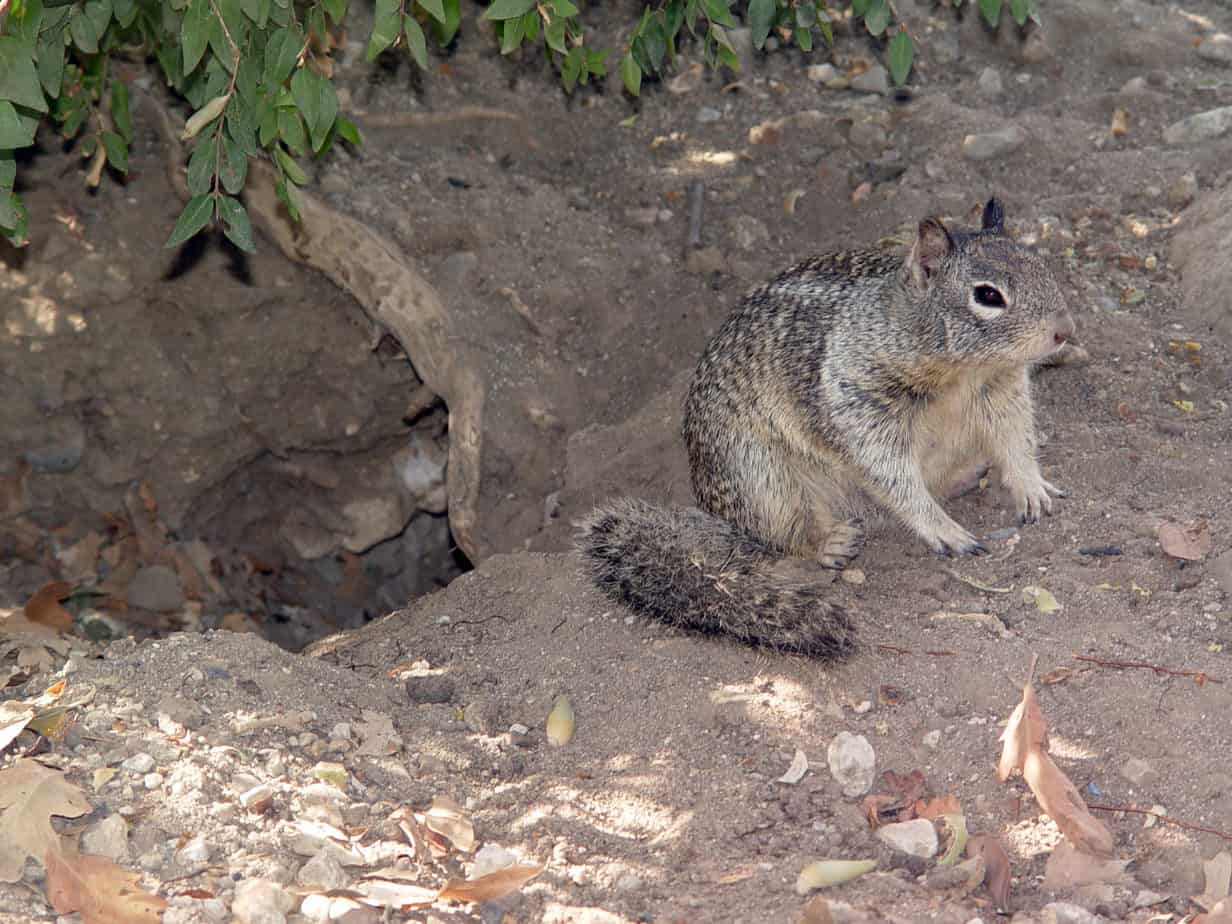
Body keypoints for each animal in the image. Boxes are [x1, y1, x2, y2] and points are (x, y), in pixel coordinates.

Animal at [581, 199, 1074, 660]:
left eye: (1041, 266)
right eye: (988, 295)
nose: (1064, 331)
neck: (963, 373)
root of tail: (709, 505)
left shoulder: (1003, 394)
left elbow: (1016, 443)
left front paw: (1032, 487)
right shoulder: (861, 404)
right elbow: (893, 478)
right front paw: (944, 529)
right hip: (762, 480)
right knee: (783, 535)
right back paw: (831, 541)